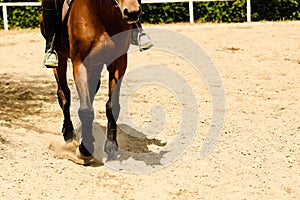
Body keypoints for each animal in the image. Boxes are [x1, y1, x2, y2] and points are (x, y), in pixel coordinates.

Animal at [40, 0, 142, 161]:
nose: (132, 12)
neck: (101, 14)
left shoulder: (118, 63)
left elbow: (112, 105)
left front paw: (111, 145)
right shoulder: (81, 64)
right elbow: (86, 109)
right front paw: (85, 150)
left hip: (97, 64)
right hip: (60, 60)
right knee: (64, 96)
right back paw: (68, 133)